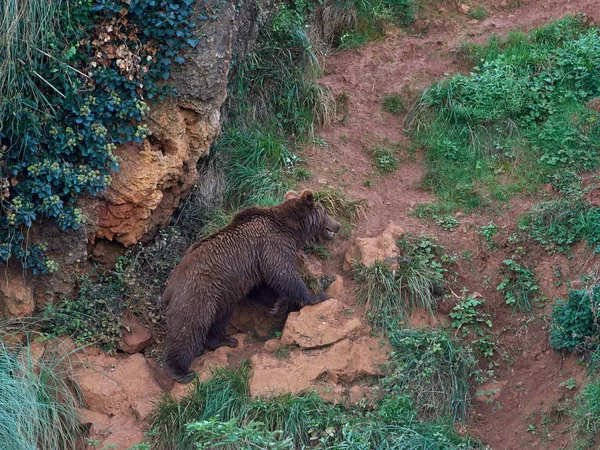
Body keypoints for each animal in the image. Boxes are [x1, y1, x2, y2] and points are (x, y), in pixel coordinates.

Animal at [162, 188, 340, 382]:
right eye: (325, 211)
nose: (338, 225)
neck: (292, 229)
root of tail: (169, 288)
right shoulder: (272, 244)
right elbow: (283, 273)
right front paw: (316, 296)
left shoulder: (256, 264)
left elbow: (264, 288)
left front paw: (278, 306)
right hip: (197, 294)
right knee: (190, 328)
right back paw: (180, 371)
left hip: (220, 296)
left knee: (220, 318)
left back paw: (225, 340)